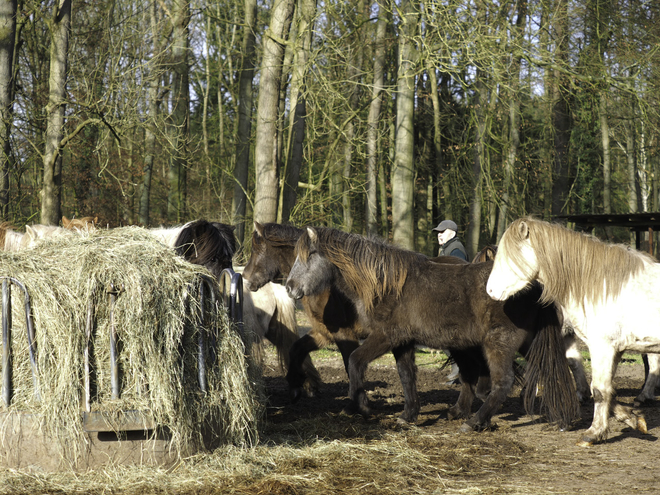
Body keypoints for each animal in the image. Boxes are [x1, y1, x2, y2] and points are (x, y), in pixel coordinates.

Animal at [284, 227, 576, 432]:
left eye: (310, 255)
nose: (289, 287)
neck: (387, 285)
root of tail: (534, 286)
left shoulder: (386, 336)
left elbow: (355, 362)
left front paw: (363, 407)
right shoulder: (402, 342)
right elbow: (406, 376)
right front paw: (408, 415)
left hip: (499, 343)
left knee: (502, 382)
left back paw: (474, 422)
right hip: (522, 343)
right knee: (548, 371)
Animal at [482, 216, 656, 446]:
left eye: (510, 255)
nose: (490, 290)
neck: (600, 286)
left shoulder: (601, 346)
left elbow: (599, 390)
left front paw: (593, 433)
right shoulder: (607, 348)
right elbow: (604, 387)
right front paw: (631, 419)